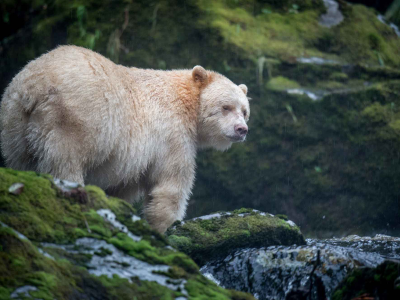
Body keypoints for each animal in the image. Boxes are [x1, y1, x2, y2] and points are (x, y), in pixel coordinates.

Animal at [0, 45, 250, 233]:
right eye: (226, 107)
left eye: (245, 111)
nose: (242, 129)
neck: (186, 100)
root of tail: (34, 86)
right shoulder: (171, 134)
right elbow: (170, 185)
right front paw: (165, 226)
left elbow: (121, 187)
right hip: (71, 120)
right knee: (65, 163)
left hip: (15, 124)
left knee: (23, 160)